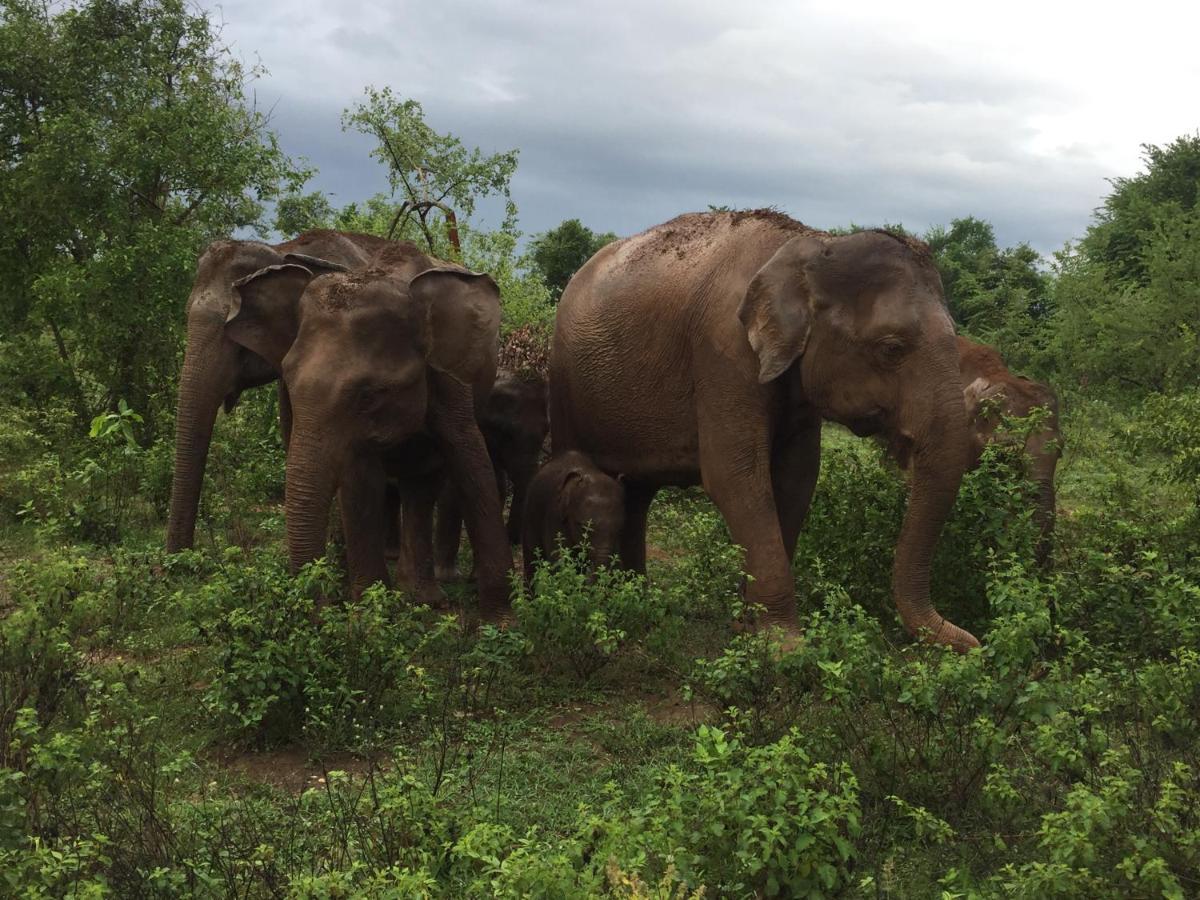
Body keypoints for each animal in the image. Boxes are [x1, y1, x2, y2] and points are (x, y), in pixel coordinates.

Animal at [226, 256, 513, 619]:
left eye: (370, 395)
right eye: (288, 382)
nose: (321, 605)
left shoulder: (451, 384)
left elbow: (472, 463)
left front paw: (502, 622)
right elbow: (360, 483)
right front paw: (372, 612)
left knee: (424, 483)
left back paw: (425, 598)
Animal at [434, 369, 549, 580]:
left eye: (546, 430)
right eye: (505, 432)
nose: (513, 540)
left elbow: (493, 488)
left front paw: (476, 577)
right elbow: (453, 491)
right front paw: (448, 577)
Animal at [552, 208, 984, 652]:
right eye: (891, 348)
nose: (974, 643)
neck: (815, 244)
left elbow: (797, 478)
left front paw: (748, 630)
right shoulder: (722, 351)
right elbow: (735, 476)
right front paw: (786, 649)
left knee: (637, 494)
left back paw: (637, 600)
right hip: (564, 381)